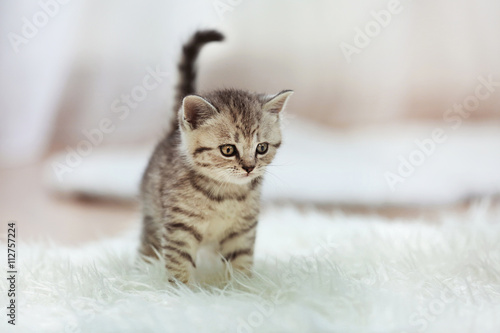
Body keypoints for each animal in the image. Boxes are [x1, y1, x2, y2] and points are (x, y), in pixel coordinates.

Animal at [138, 29, 292, 282]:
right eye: (228, 150)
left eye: (261, 148)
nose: (249, 167)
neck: (225, 194)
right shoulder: (179, 227)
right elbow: (179, 264)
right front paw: (180, 290)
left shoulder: (242, 230)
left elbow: (240, 263)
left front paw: (243, 288)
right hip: (152, 213)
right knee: (148, 244)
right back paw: (141, 271)